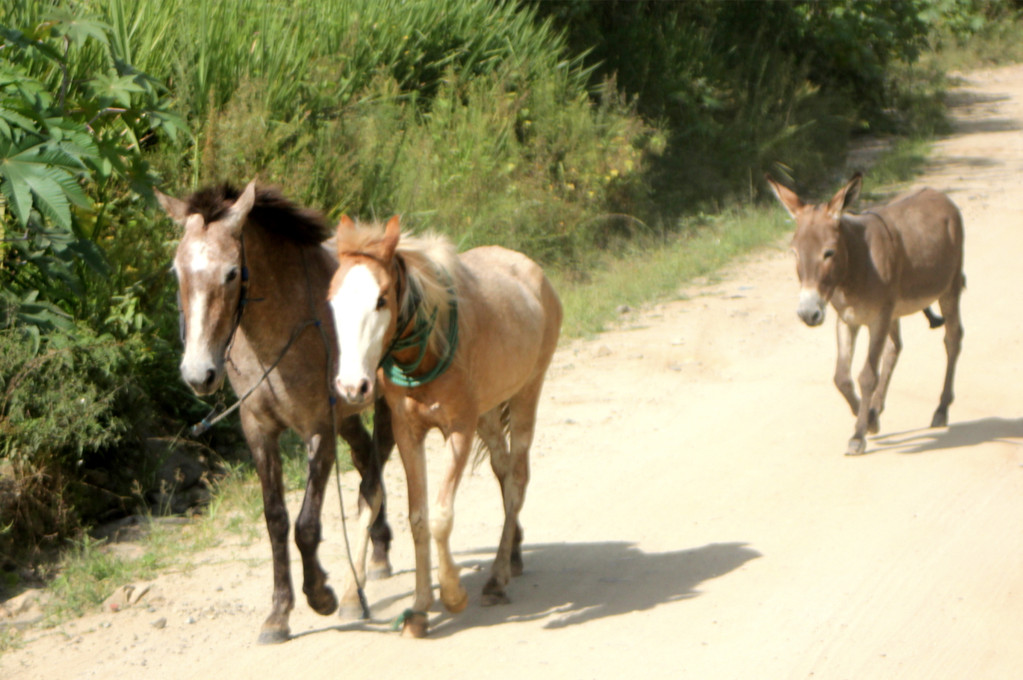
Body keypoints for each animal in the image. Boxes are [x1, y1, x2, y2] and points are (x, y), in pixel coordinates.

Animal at [156, 178, 394, 642]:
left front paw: (320, 595)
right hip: (350, 416)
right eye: (177, 272)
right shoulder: (259, 430)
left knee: (375, 475)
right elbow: (277, 520)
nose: (198, 373)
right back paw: (377, 554)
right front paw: (279, 613)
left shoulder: (319, 428)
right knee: (365, 461)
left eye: (232, 273)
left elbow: (306, 524)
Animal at [327, 215, 564, 638]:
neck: (426, 352)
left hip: (526, 394)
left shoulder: (459, 429)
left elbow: (440, 517)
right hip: (488, 413)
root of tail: (531, 270)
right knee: (503, 470)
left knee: (517, 480)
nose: (353, 386)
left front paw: (452, 594)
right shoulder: (407, 432)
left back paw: (497, 579)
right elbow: (419, 519)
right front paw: (419, 609)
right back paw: (509, 559)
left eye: (381, 299)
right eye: (334, 300)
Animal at [769, 172, 965, 454]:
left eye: (829, 253)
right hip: (896, 310)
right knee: (894, 348)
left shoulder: (878, 318)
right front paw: (868, 421)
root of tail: (939, 195)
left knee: (952, 340)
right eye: (794, 252)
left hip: (949, 288)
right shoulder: (847, 320)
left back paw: (940, 410)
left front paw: (858, 435)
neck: (855, 266)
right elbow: (841, 377)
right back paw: (875, 409)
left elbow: (867, 375)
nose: (808, 313)